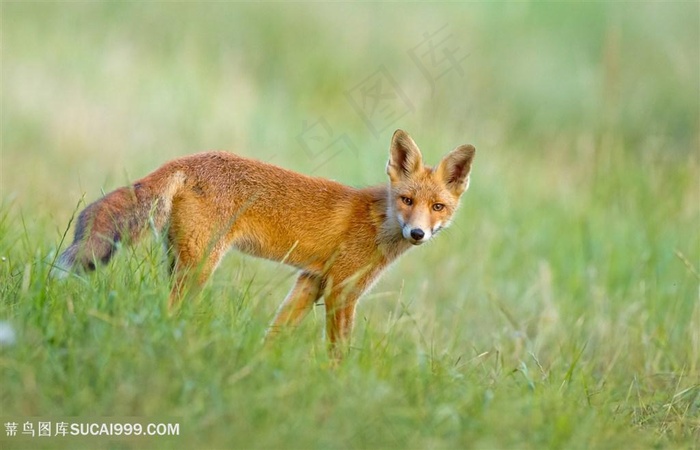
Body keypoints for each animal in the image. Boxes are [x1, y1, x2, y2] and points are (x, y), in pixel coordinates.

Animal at [56, 129, 476, 356]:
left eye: (437, 207)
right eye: (407, 200)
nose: (417, 234)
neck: (377, 223)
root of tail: (186, 159)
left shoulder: (311, 281)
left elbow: (275, 334)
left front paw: (261, 366)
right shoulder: (342, 291)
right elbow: (338, 353)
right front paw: (338, 389)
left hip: (180, 260)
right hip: (199, 267)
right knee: (170, 309)